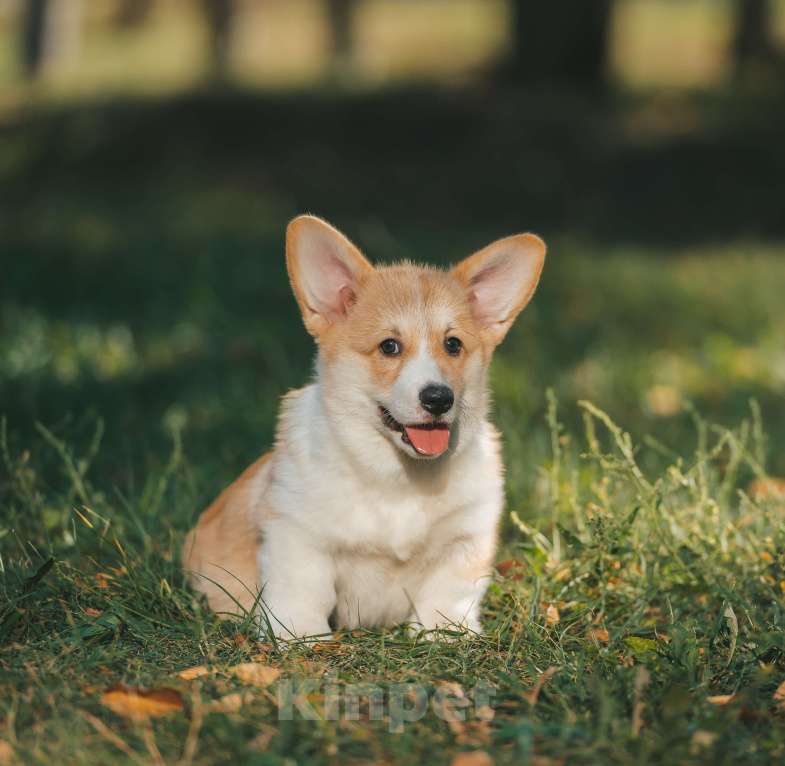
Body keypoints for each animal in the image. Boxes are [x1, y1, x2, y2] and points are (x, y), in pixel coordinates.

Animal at [183, 218, 544, 640]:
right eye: (389, 346)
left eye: (453, 344)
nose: (439, 399)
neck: (399, 478)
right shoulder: (297, 534)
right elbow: (302, 591)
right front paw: (303, 638)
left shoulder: (466, 537)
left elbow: (448, 594)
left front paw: (443, 633)